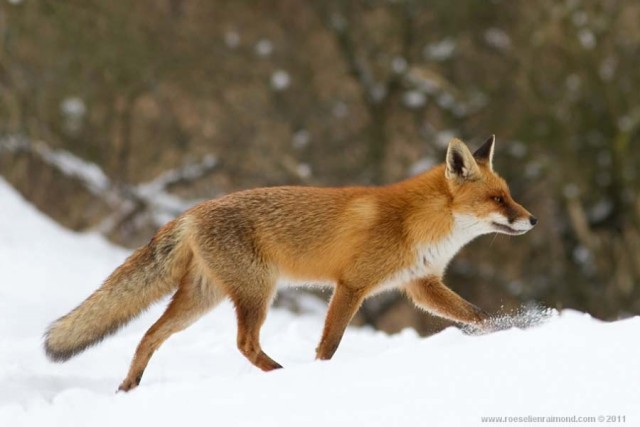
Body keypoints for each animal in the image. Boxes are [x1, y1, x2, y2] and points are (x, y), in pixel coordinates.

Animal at [42, 137, 536, 392]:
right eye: (498, 199)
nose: (532, 219)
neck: (420, 225)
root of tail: (192, 210)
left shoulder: (421, 284)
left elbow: (477, 315)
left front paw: (516, 329)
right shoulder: (352, 285)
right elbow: (329, 344)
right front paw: (319, 376)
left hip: (202, 299)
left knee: (149, 334)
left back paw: (129, 387)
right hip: (258, 292)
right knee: (243, 343)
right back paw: (281, 376)